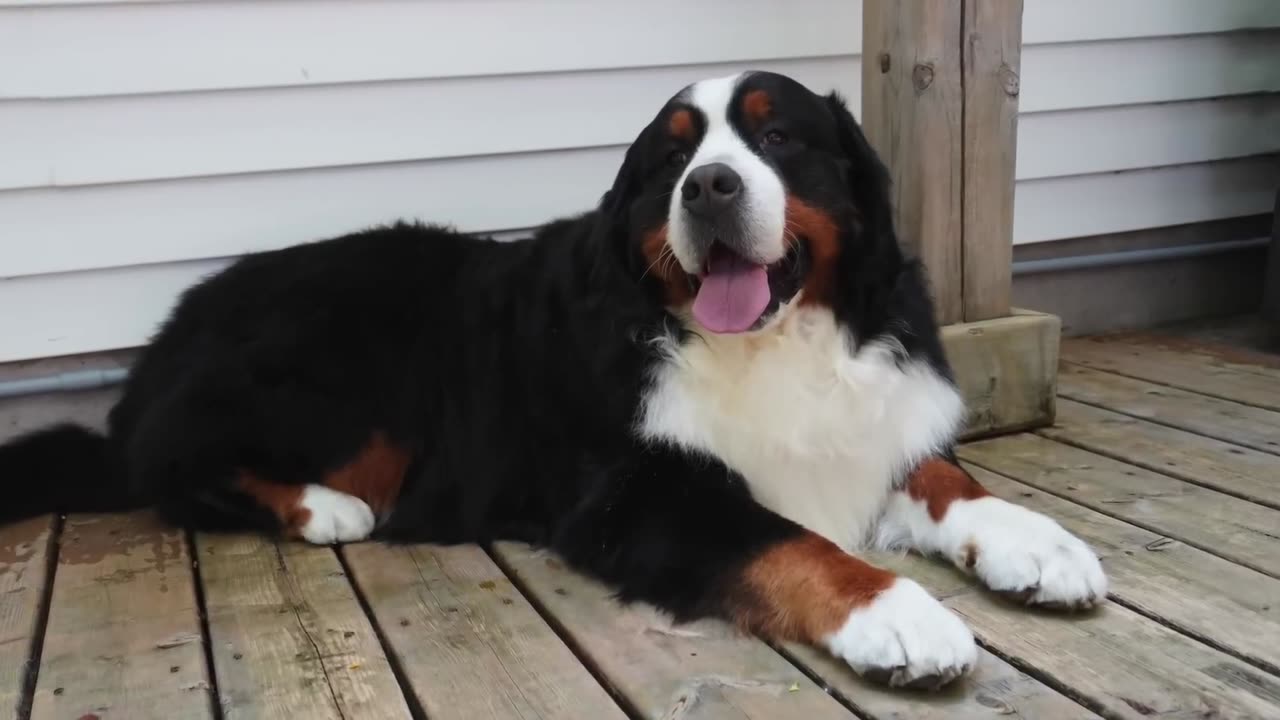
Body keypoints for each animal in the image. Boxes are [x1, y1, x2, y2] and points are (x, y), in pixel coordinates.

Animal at [0, 71, 1105, 691]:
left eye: (777, 137)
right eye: (670, 159)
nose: (709, 186)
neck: (775, 342)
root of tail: (169, 333)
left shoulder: (869, 423)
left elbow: (944, 476)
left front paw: (1039, 544)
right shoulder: (638, 490)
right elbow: (786, 538)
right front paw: (896, 615)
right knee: (175, 472)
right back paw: (325, 509)